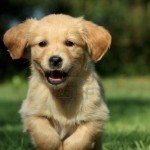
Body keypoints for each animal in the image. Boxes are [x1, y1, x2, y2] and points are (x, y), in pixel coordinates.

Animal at [3, 14, 111, 150]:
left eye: (69, 43)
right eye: (42, 43)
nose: (55, 60)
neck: (61, 92)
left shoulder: (95, 116)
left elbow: (79, 140)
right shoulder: (31, 112)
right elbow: (46, 135)